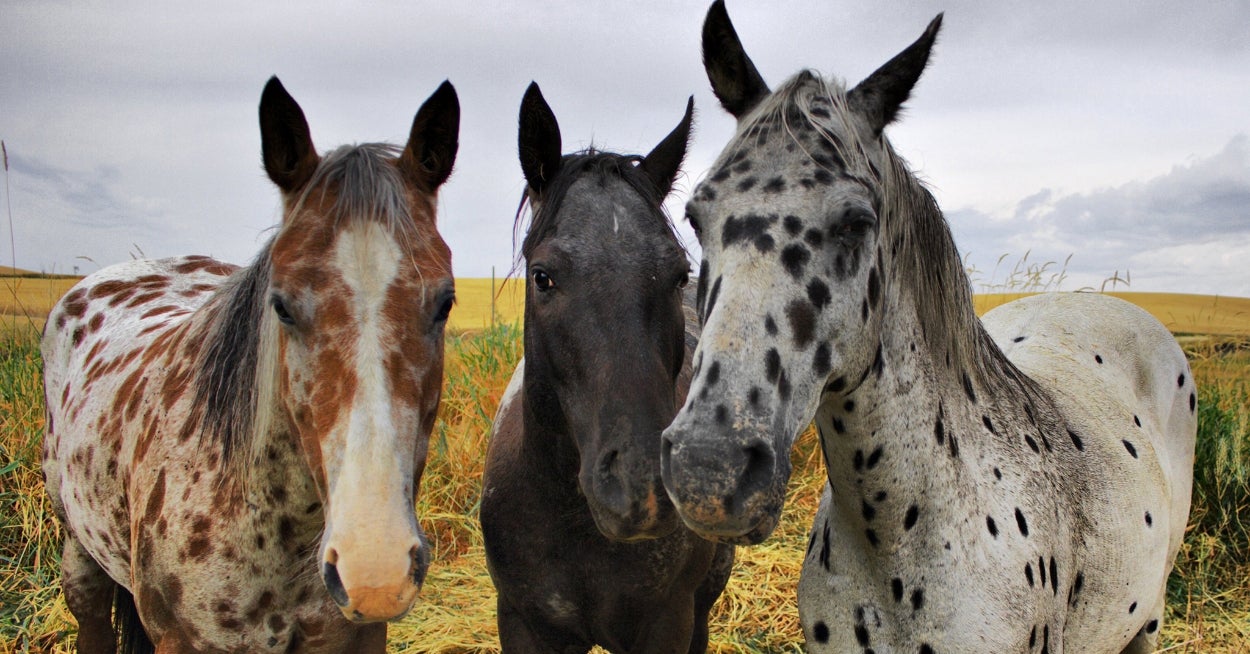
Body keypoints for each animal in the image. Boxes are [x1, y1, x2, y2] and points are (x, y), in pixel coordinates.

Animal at [480, 82, 734, 653]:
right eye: (543, 276)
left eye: (678, 274)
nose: (641, 488)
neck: (569, 517)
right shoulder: (523, 623)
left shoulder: (667, 623)